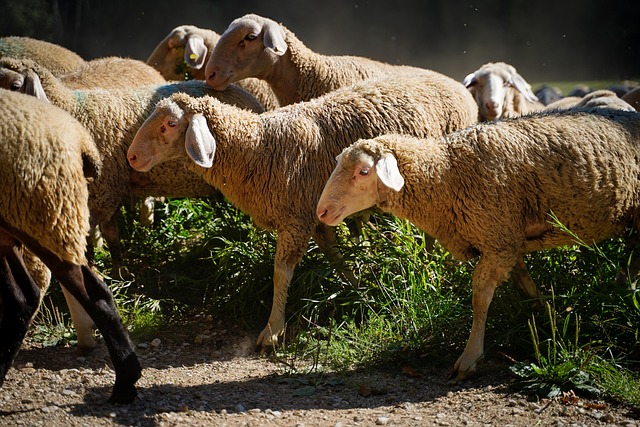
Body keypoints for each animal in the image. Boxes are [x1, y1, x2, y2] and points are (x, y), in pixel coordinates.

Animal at [125, 72, 478, 352]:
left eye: (170, 124)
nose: (131, 157)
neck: (258, 148)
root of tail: (454, 83)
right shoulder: (316, 215)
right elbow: (336, 256)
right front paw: (358, 288)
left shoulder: (295, 218)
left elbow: (281, 272)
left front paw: (272, 331)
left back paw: (437, 268)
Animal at [318, 108, 640, 380]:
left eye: (363, 172)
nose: (321, 212)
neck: (446, 173)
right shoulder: (506, 239)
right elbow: (526, 285)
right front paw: (545, 320)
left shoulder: (498, 242)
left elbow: (480, 297)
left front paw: (470, 357)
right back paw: (621, 294)